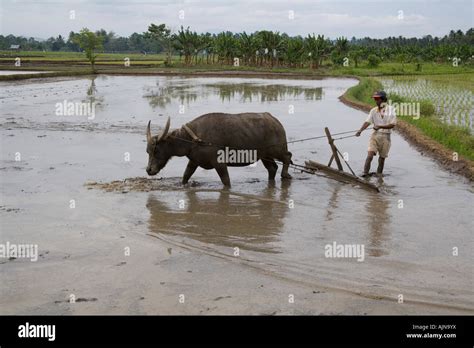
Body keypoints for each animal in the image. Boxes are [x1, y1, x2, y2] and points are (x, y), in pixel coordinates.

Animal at [144, 113, 292, 186]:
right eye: (148, 151)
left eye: (156, 150)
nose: (149, 170)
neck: (192, 139)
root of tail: (275, 121)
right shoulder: (194, 161)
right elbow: (186, 175)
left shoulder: (219, 163)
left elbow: (226, 181)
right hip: (264, 156)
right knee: (272, 168)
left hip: (276, 150)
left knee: (287, 156)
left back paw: (285, 175)